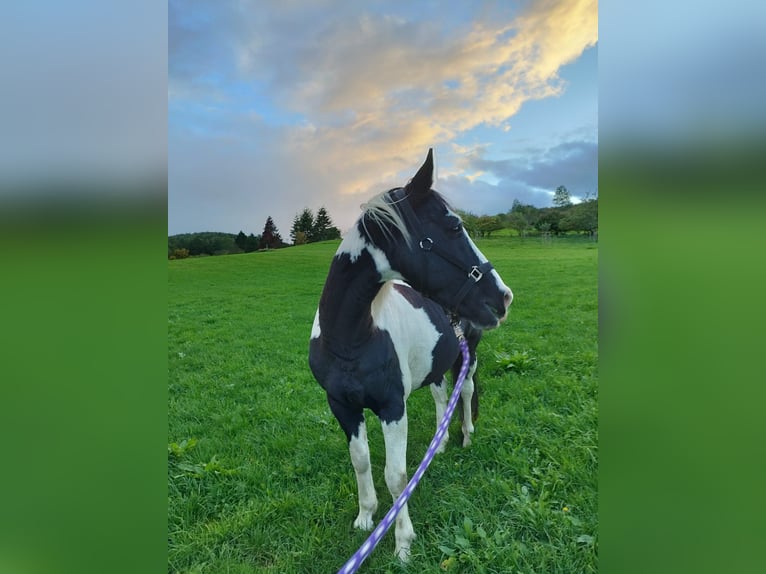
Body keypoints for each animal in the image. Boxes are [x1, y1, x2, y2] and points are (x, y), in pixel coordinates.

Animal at [308, 148, 512, 564]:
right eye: (454, 227)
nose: (503, 298)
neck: (351, 339)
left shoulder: (392, 407)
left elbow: (396, 475)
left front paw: (402, 541)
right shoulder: (342, 405)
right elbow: (361, 460)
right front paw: (366, 517)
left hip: (469, 357)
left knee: (465, 392)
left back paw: (465, 437)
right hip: (437, 365)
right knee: (440, 396)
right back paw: (442, 442)